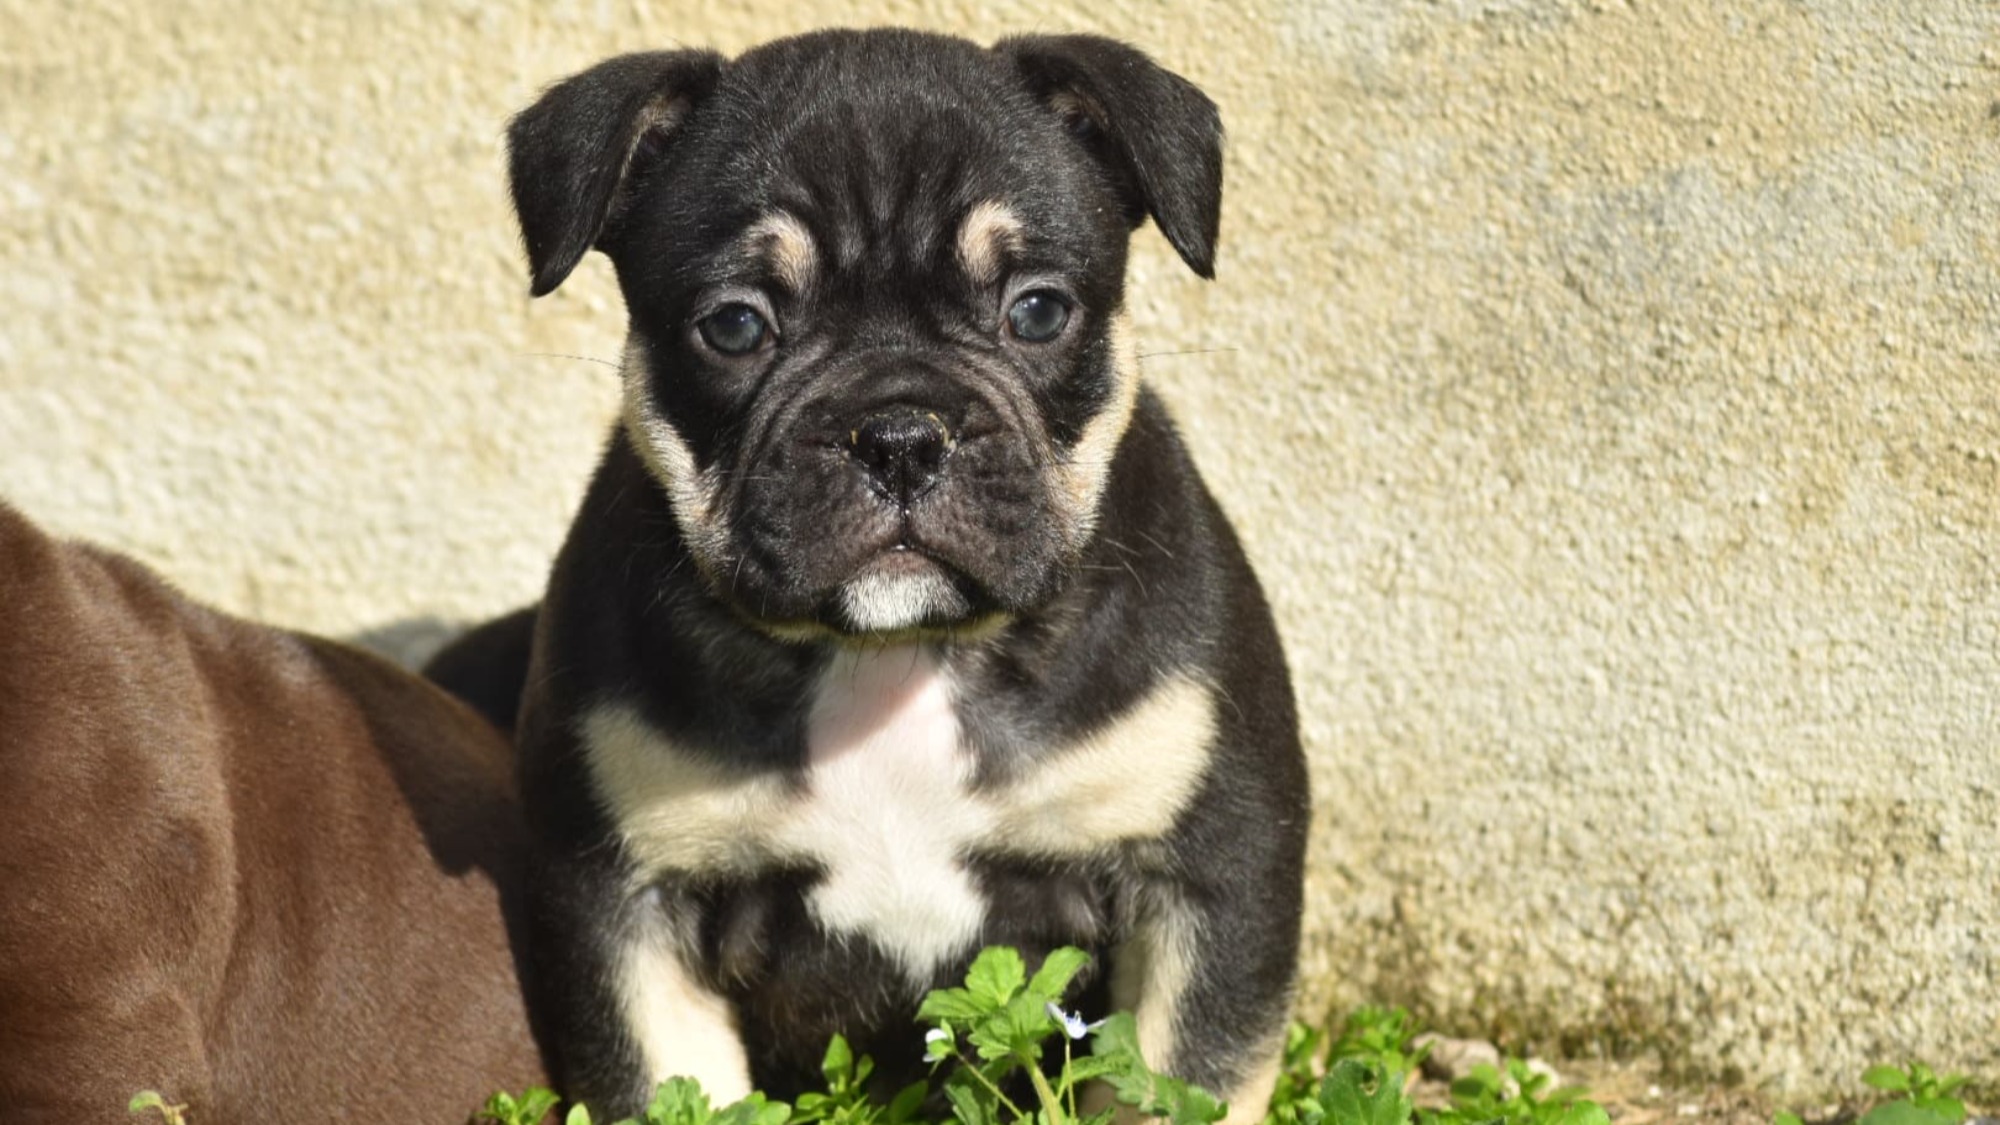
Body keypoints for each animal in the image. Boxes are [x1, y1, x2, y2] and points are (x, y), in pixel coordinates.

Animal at [440, 28, 1312, 1120]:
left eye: (1037, 312)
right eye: (734, 326)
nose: (899, 435)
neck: (894, 651)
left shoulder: (1206, 874)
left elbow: (1175, 1074)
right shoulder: (623, 902)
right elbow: (667, 1081)